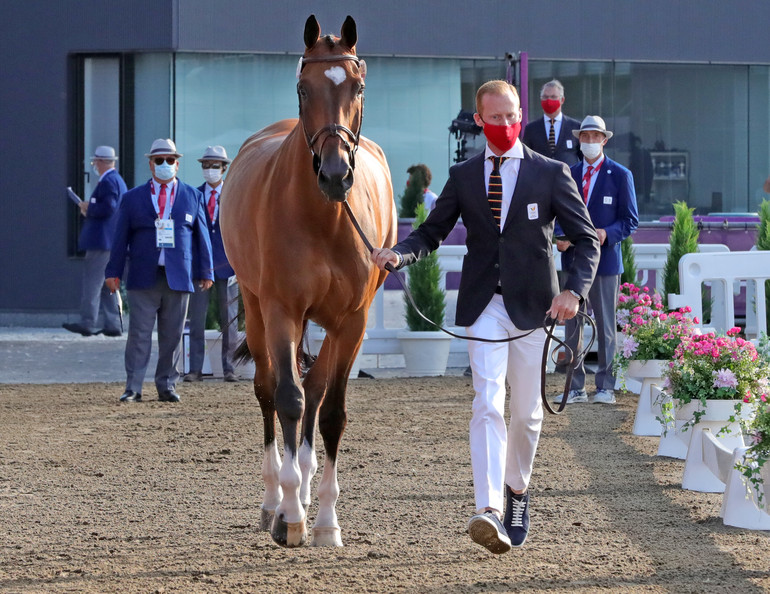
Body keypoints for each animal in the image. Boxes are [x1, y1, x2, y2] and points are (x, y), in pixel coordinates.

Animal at [218, 12, 392, 544]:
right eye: (302, 87)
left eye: (358, 86)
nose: (336, 175)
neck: (324, 219)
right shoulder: (282, 312)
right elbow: (288, 400)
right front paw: (291, 516)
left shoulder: (351, 321)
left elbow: (330, 410)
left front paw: (327, 522)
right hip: (255, 307)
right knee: (269, 389)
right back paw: (275, 499)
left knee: (314, 389)